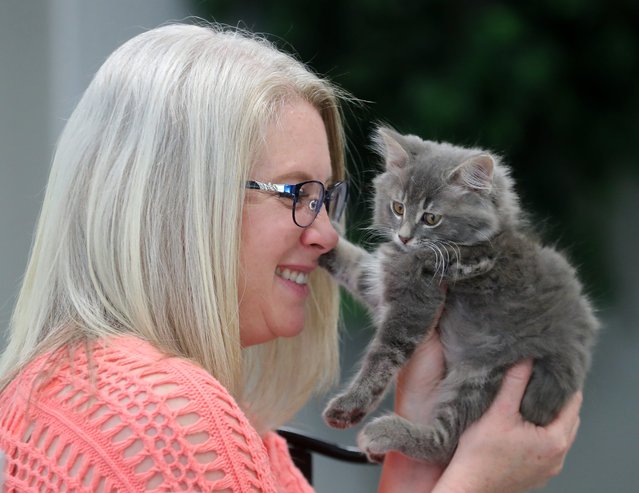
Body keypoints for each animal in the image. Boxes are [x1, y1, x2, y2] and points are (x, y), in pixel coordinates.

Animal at [322, 126, 604, 462]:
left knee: (446, 445)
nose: (404, 237)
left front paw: (349, 406)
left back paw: (386, 434)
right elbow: (351, 261)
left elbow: (382, 358)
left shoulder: (417, 303)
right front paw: (320, 240)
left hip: (481, 373)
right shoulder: (378, 279)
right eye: (398, 208)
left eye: (431, 218)